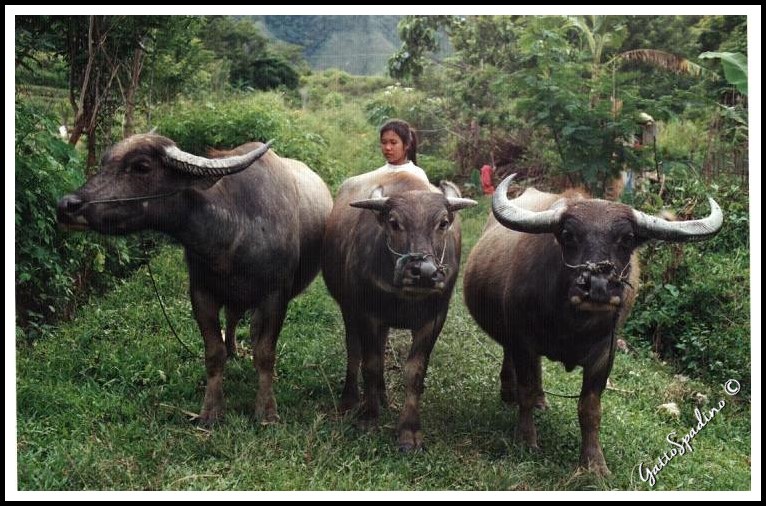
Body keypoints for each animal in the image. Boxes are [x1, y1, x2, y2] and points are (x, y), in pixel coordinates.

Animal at [58, 133, 334, 422]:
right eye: (104, 162)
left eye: (142, 166)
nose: (67, 205)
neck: (233, 235)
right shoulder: (201, 294)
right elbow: (214, 353)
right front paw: (211, 410)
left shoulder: (276, 297)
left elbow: (265, 353)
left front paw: (266, 410)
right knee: (233, 320)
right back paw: (234, 350)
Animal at [320, 171, 476, 450]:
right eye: (394, 222)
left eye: (443, 223)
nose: (424, 273)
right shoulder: (367, 314)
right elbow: (369, 364)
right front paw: (369, 416)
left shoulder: (434, 319)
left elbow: (415, 371)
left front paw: (409, 431)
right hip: (349, 310)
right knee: (354, 351)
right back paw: (350, 399)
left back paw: (382, 395)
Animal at [464, 174, 724, 474]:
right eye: (568, 235)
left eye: (628, 238)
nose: (598, 286)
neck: (571, 325)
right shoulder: (523, 340)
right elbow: (525, 391)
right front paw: (526, 441)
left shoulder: (604, 354)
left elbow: (590, 408)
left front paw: (594, 464)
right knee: (510, 358)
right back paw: (509, 394)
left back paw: (542, 400)